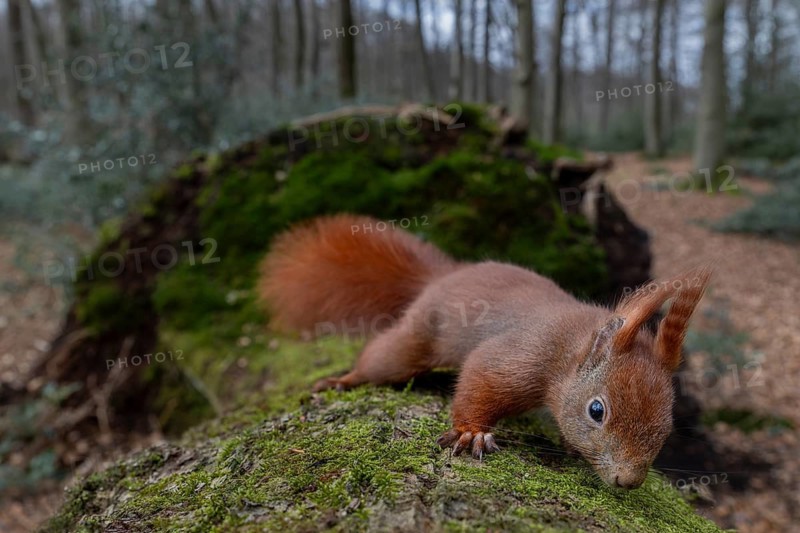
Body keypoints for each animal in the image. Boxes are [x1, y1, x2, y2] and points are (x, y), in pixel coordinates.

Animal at [259, 214, 711, 489]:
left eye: (668, 424)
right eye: (596, 410)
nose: (629, 481)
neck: (571, 349)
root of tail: (444, 276)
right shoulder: (522, 355)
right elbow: (481, 375)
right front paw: (472, 431)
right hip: (416, 336)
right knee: (385, 359)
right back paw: (344, 379)